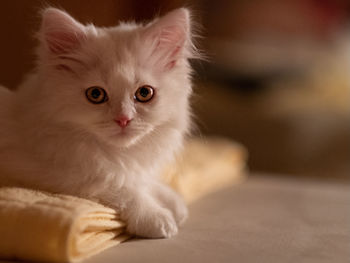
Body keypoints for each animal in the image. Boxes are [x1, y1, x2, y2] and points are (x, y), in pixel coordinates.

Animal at [0, 7, 197, 239]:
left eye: (144, 93)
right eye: (95, 94)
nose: (123, 119)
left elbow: (141, 181)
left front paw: (173, 201)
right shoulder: (52, 173)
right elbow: (118, 186)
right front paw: (155, 216)